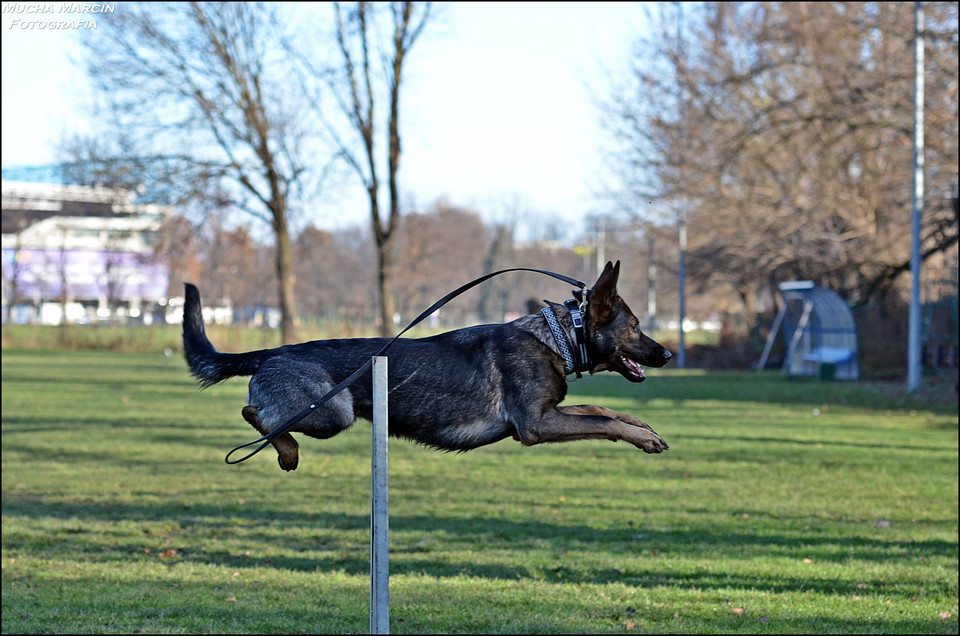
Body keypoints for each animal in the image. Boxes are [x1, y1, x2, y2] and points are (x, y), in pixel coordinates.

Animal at [182, 260, 676, 472]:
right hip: (332, 413)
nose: (669, 355)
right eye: (636, 327)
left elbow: (601, 411)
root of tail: (274, 351)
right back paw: (285, 449)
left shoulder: (549, 413)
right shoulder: (536, 425)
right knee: (255, 413)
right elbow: (603, 422)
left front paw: (643, 426)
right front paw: (641, 437)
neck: (557, 336)